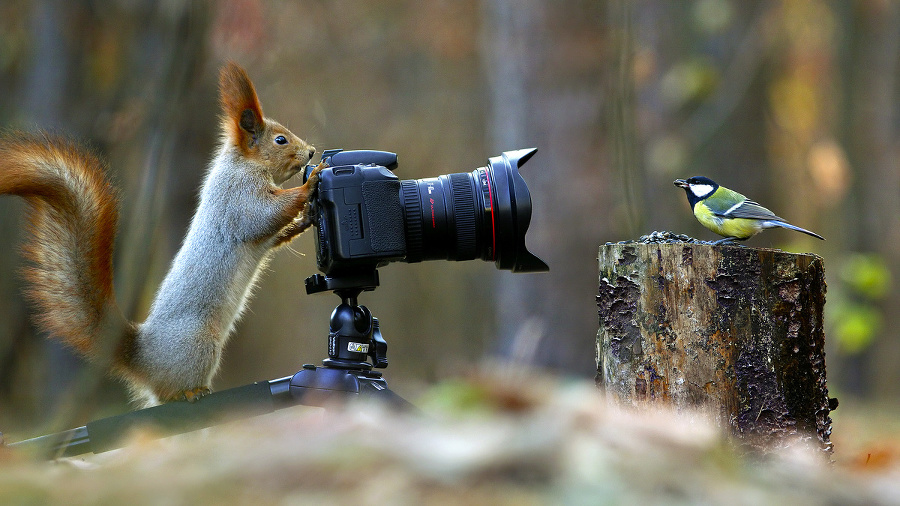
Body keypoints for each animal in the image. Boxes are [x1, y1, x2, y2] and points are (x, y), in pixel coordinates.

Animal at [0, 61, 322, 408]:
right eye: (280, 140)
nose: (312, 151)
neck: (243, 164)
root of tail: (143, 358)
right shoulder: (237, 198)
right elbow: (263, 216)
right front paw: (311, 183)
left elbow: (274, 234)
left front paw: (305, 219)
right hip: (199, 344)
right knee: (169, 393)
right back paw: (191, 392)